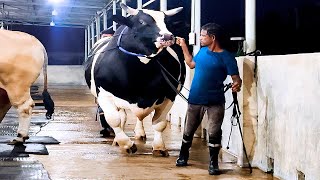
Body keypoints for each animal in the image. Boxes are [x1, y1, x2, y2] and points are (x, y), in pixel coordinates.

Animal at [84, 3, 186, 156]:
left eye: (167, 23)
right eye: (142, 22)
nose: (168, 36)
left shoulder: (170, 95)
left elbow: (159, 123)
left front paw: (159, 147)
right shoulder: (104, 94)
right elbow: (115, 120)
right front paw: (126, 144)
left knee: (138, 118)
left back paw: (139, 133)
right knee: (122, 118)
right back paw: (117, 140)